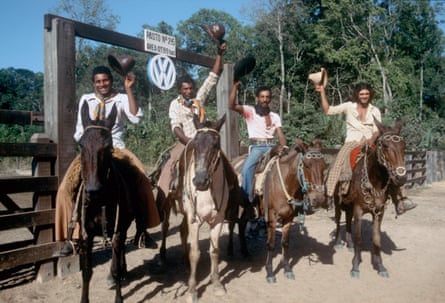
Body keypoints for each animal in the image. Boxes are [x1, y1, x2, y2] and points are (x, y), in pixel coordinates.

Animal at [76, 102, 151, 303]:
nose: (93, 191)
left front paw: (119, 295)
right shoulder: (87, 235)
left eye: (108, 146)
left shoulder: (117, 229)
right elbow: (86, 271)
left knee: (121, 248)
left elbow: (115, 267)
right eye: (81, 144)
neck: (100, 201)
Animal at [231, 139, 328, 284]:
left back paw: (245, 252)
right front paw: (270, 272)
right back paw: (229, 251)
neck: (285, 183)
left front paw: (287, 269)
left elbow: (285, 243)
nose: (319, 199)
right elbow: (271, 244)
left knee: (242, 224)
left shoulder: (289, 218)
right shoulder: (271, 218)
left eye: (324, 166)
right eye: (306, 165)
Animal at [332, 117, 406, 280]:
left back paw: (349, 244)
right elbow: (359, 238)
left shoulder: (378, 212)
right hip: (337, 202)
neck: (374, 181)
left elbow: (376, 239)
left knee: (348, 220)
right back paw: (338, 242)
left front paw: (380, 266)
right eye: (385, 145)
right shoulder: (359, 210)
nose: (401, 178)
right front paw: (355, 266)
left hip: (349, 205)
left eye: (404, 146)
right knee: (339, 218)